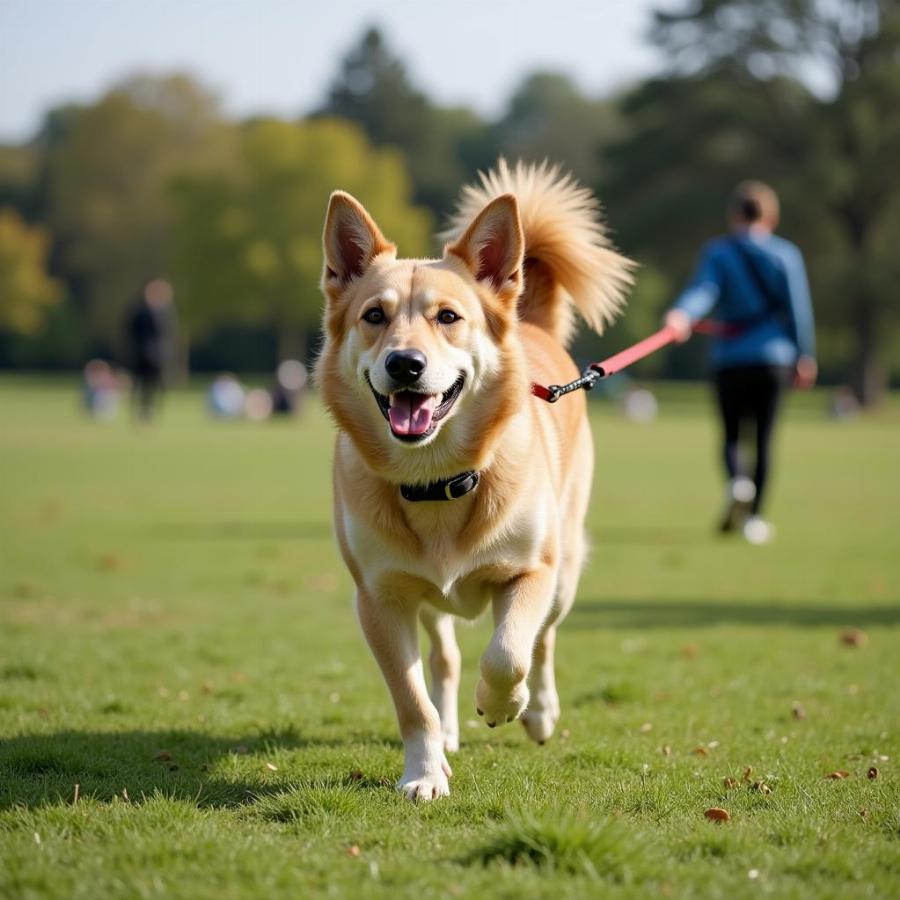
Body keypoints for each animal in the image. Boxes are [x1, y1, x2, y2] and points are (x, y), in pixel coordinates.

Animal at [316, 162, 632, 800]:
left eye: (448, 317)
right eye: (374, 315)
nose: (405, 364)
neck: (436, 478)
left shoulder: (531, 572)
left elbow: (509, 652)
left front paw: (502, 704)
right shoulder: (380, 597)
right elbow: (412, 699)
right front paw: (424, 770)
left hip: (564, 569)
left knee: (544, 640)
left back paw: (538, 712)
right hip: (427, 599)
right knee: (445, 659)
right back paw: (449, 733)